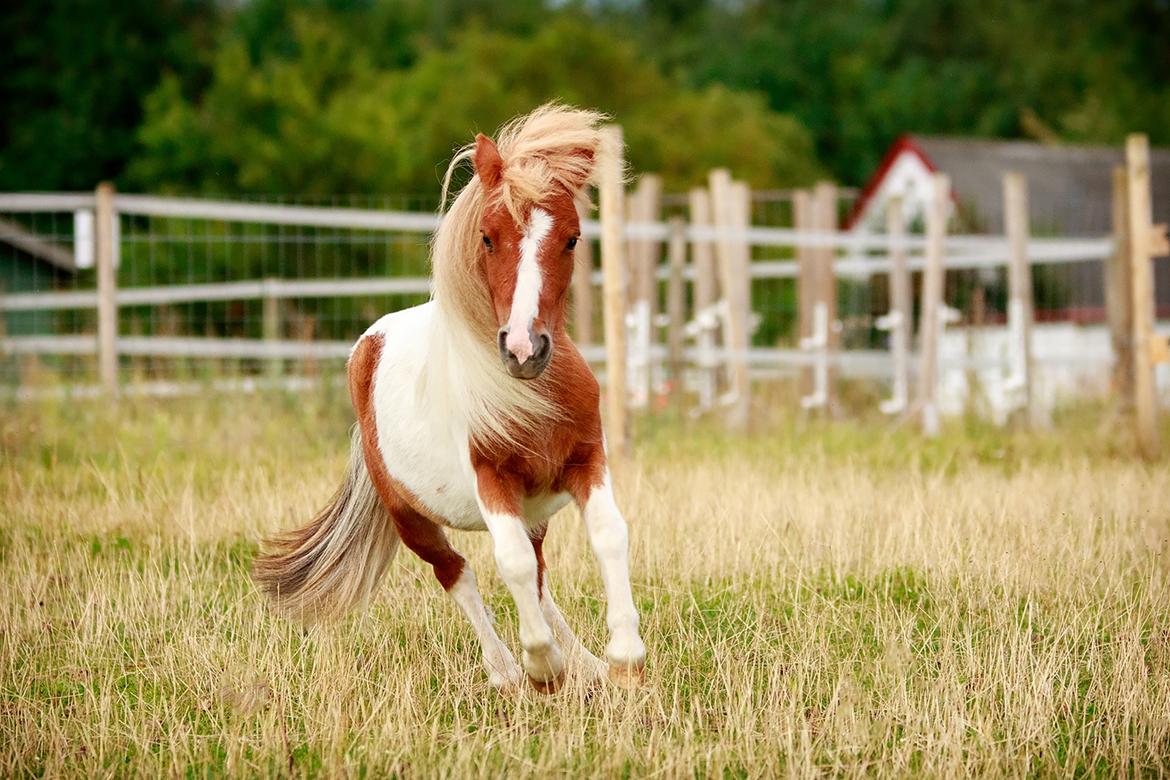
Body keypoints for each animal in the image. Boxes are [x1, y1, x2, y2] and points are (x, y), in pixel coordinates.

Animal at [250, 105, 645, 696]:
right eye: (487, 237)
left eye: (573, 239)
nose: (524, 349)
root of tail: (368, 347)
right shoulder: (491, 478)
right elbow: (509, 564)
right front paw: (542, 667)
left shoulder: (585, 460)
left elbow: (607, 535)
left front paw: (622, 657)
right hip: (409, 518)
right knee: (458, 575)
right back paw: (506, 670)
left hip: (532, 510)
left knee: (538, 578)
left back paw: (584, 663)